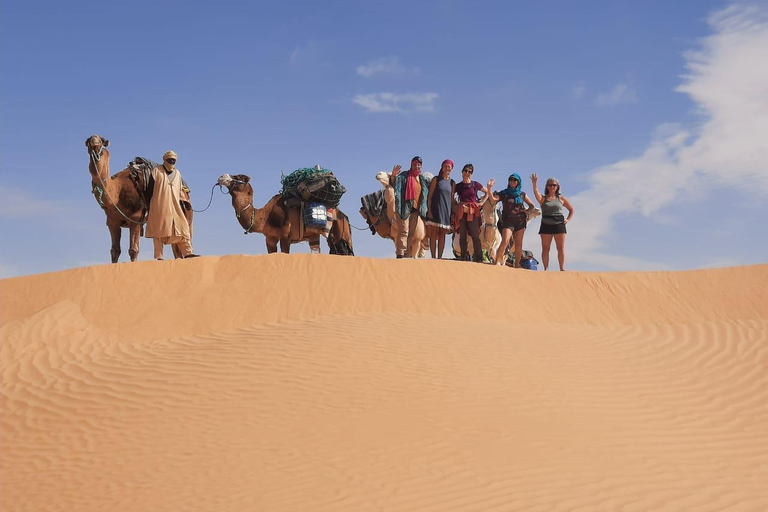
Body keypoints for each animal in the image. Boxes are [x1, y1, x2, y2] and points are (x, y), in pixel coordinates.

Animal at [85, 134, 195, 262]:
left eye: (102, 141)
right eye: (87, 141)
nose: (94, 140)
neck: (116, 193)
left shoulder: (136, 219)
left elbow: (133, 250)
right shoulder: (112, 222)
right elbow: (115, 251)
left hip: (186, 214)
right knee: (175, 246)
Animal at [216, 174, 354, 256]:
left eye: (237, 177)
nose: (221, 177)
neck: (266, 216)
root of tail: (344, 216)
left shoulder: (285, 236)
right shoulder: (270, 239)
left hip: (343, 233)